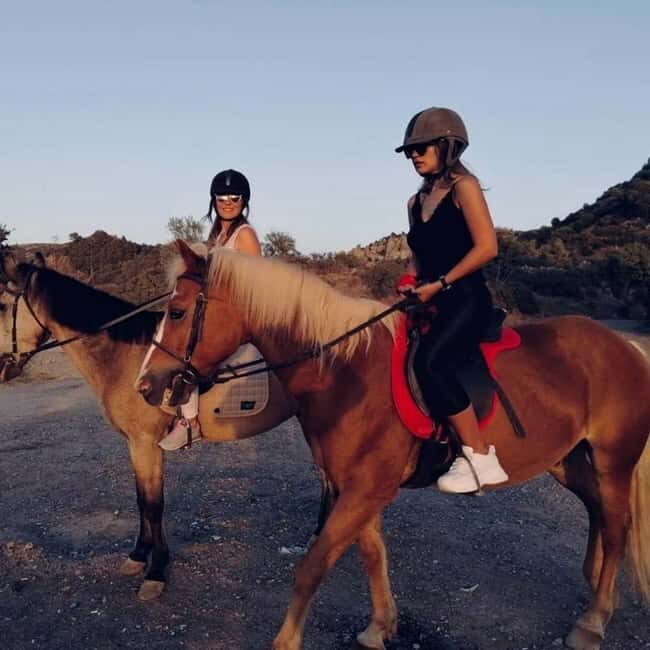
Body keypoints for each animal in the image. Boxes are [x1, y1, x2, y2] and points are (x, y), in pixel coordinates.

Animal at [0, 249, 298, 601]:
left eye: (1, 305)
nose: (2, 369)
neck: (125, 358)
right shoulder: (135, 444)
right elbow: (142, 499)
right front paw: (139, 557)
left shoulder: (145, 443)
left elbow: (154, 505)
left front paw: (156, 572)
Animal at [137, 240, 650, 650]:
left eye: (177, 312)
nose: (146, 385)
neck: (345, 372)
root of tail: (625, 347)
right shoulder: (359, 488)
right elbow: (371, 555)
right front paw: (380, 627)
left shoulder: (365, 489)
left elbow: (312, 567)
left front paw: (287, 641)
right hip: (568, 461)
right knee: (599, 513)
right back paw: (596, 587)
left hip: (612, 462)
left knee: (616, 527)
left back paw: (593, 621)